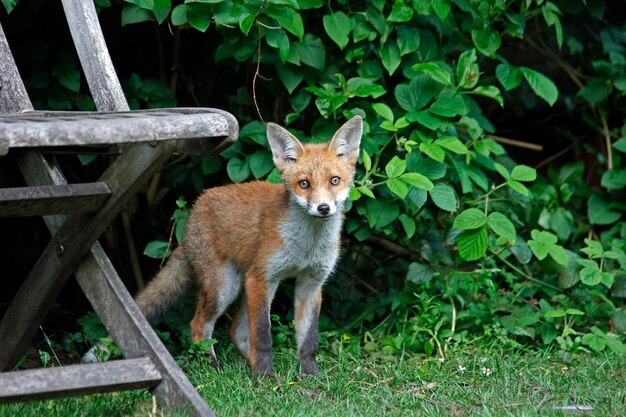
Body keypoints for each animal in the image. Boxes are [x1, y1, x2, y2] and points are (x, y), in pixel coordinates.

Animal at [134, 115, 364, 376]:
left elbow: (309, 338)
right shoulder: (262, 277)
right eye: (304, 184)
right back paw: (214, 368)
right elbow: (263, 336)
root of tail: (195, 209)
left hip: (244, 284)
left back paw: (246, 365)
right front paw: (264, 377)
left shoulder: (312, 283)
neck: (306, 247)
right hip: (226, 286)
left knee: (237, 330)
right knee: (199, 324)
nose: (323, 208)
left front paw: (309, 375)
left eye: (334, 180)